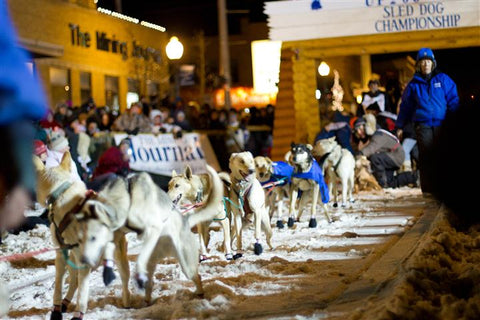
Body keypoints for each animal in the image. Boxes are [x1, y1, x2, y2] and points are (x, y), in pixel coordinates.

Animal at [32, 152, 129, 320]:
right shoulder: (60, 255)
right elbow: (58, 286)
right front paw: (56, 309)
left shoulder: (83, 260)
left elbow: (82, 292)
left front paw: (78, 314)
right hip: (71, 259)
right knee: (74, 281)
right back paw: (65, 302)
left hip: (117, 257)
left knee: (124, 279)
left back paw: (127, 300)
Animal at [76, 164, 224, 302]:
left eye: (177, 185)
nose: (84, 259)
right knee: (149, 283)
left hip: (188, 266)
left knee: (196, 276)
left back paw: (199, 293)